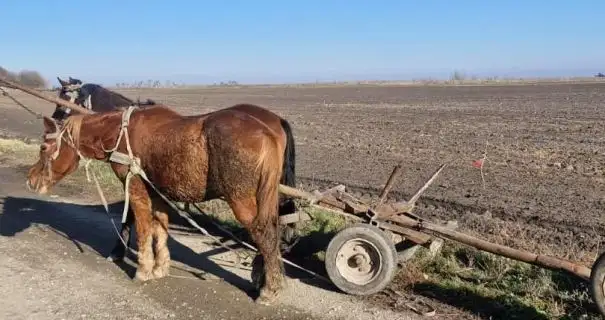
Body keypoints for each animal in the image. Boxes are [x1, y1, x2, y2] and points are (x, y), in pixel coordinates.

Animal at [28, 103, 290, 304]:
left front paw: (143, 269)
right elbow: (159, 228)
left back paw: (269, 290)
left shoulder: (136, 188)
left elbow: (143, 228)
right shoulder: (159, 193)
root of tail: (266, 131)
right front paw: (160, 267)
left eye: (43, 147)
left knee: (265, 235)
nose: (31, 180)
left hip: (241, 201)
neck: (120, 134)